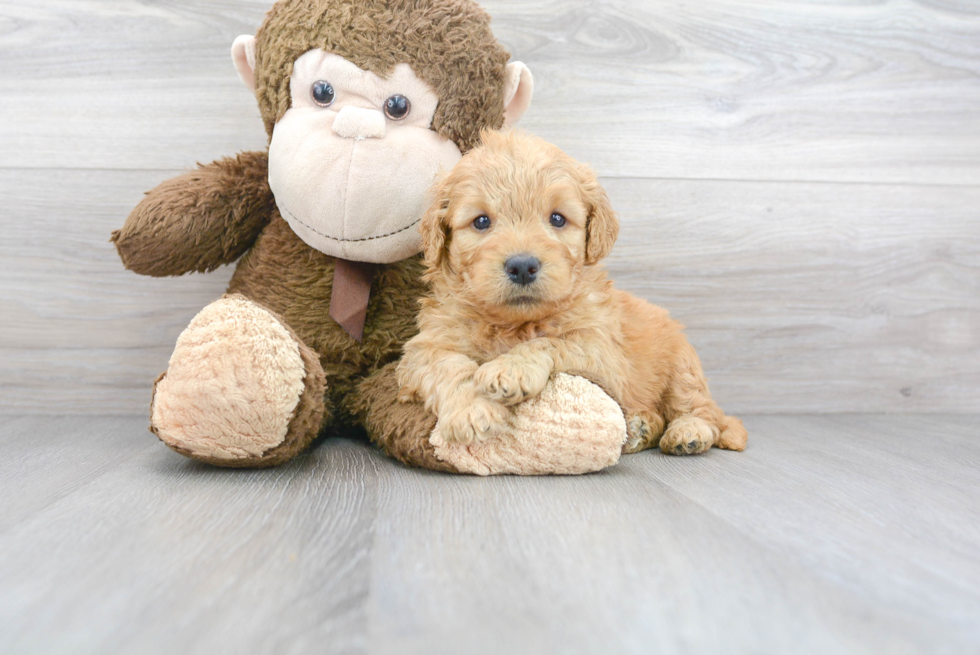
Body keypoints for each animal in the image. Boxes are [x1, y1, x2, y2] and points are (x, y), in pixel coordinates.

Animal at [394, 128, 748, 456]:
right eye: (481, 221)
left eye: (557, 218)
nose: (522, 266)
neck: (514, 324)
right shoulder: (423, 349)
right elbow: (449, 365)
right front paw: (472, 409)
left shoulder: (603, 354)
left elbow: (550, 341)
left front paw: (511, 368)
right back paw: (641, 427)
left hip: (682, 367)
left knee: (702, 411)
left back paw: (689, 432)